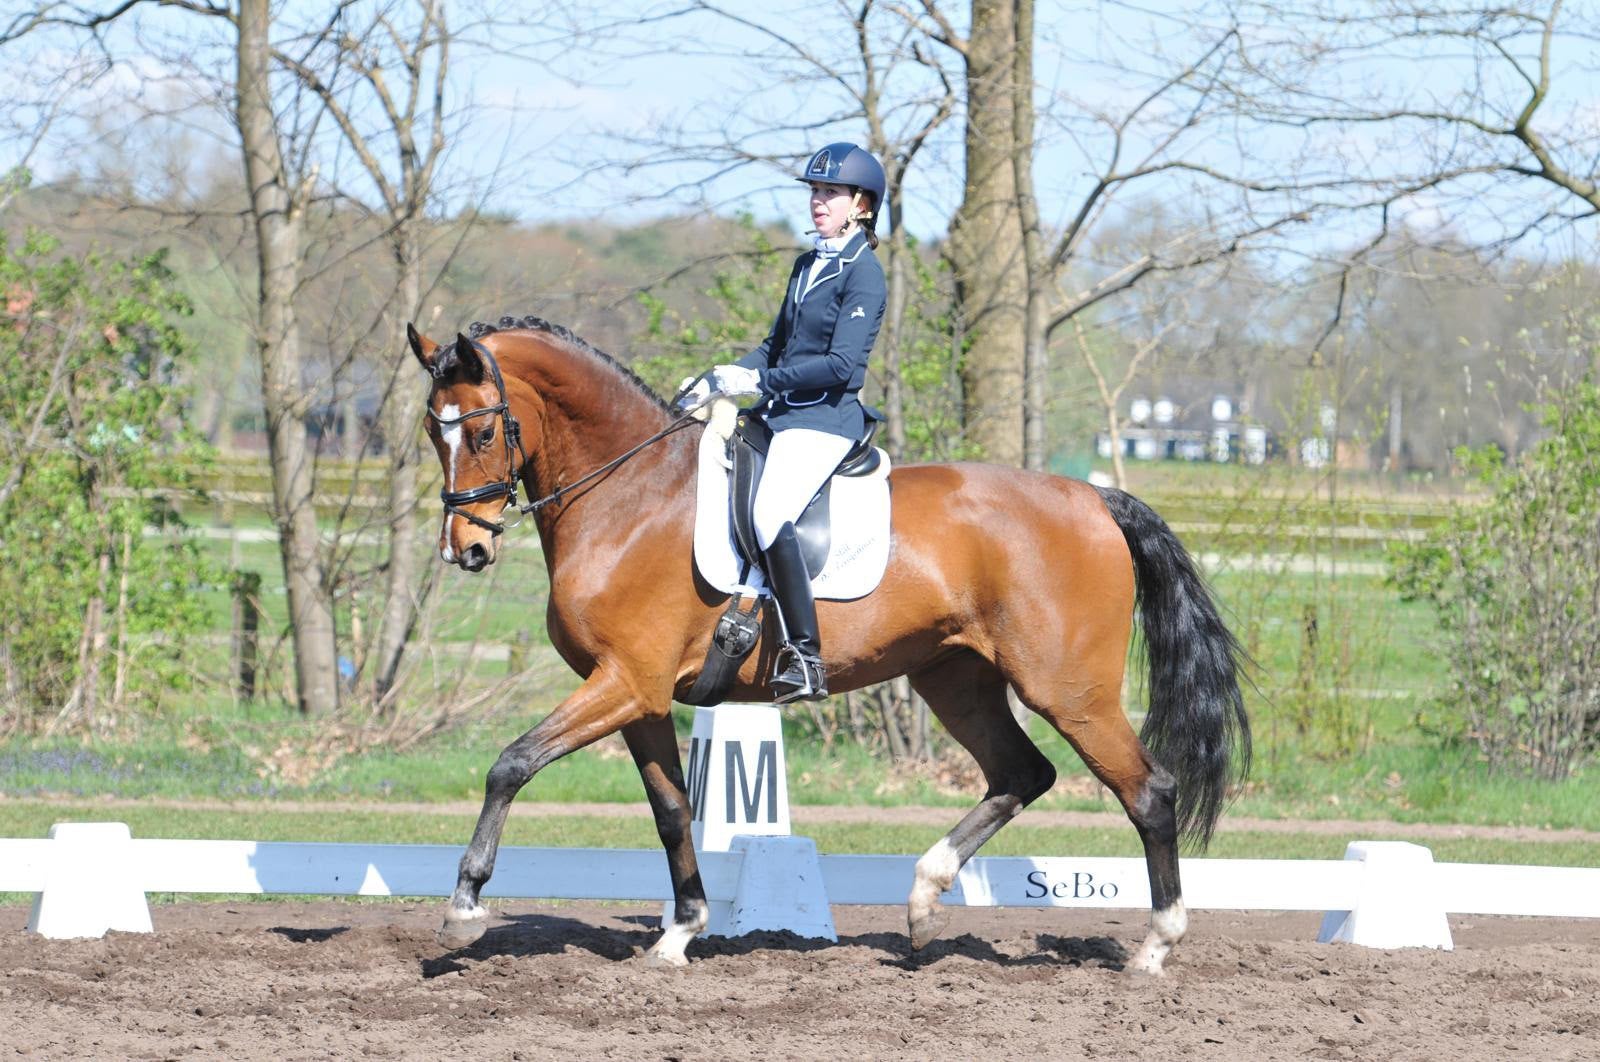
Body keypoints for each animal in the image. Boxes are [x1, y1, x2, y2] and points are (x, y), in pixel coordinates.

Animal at [409, 315, 1250, 975]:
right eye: (430, 431)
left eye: (481, 430)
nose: (467, 551)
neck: (630, 494)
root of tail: (1094, 498)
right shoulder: (638, 694)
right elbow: (673, 810)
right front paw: (680, 935)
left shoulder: (623, 682)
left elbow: (512, 763)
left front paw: (464, 905)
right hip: (955, 679)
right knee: (1022, 772)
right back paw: (923, 901)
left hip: (1068, 688)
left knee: (1148, 792)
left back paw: (1155, 947)